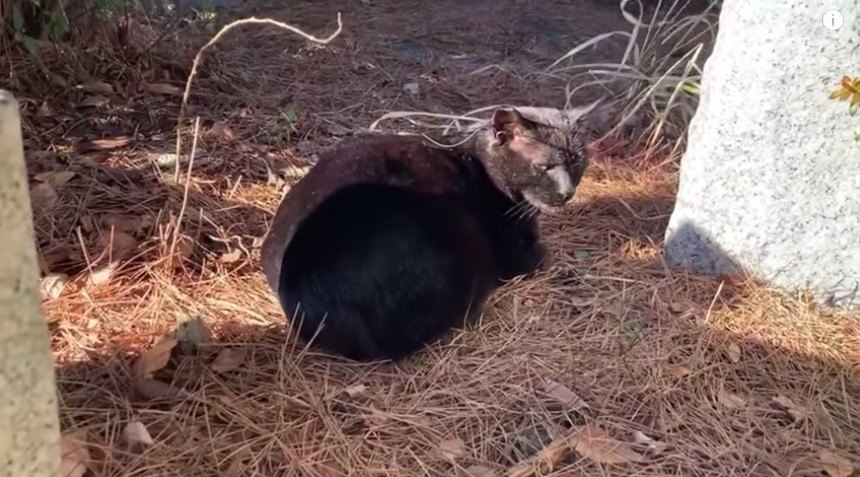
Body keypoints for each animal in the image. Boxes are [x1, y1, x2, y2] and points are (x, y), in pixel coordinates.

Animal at [262, 101, 604, 360]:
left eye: (577, 163)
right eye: (544, 167)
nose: (567, 192)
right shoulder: (521, 252)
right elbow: (544, 258)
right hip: (462, 233)